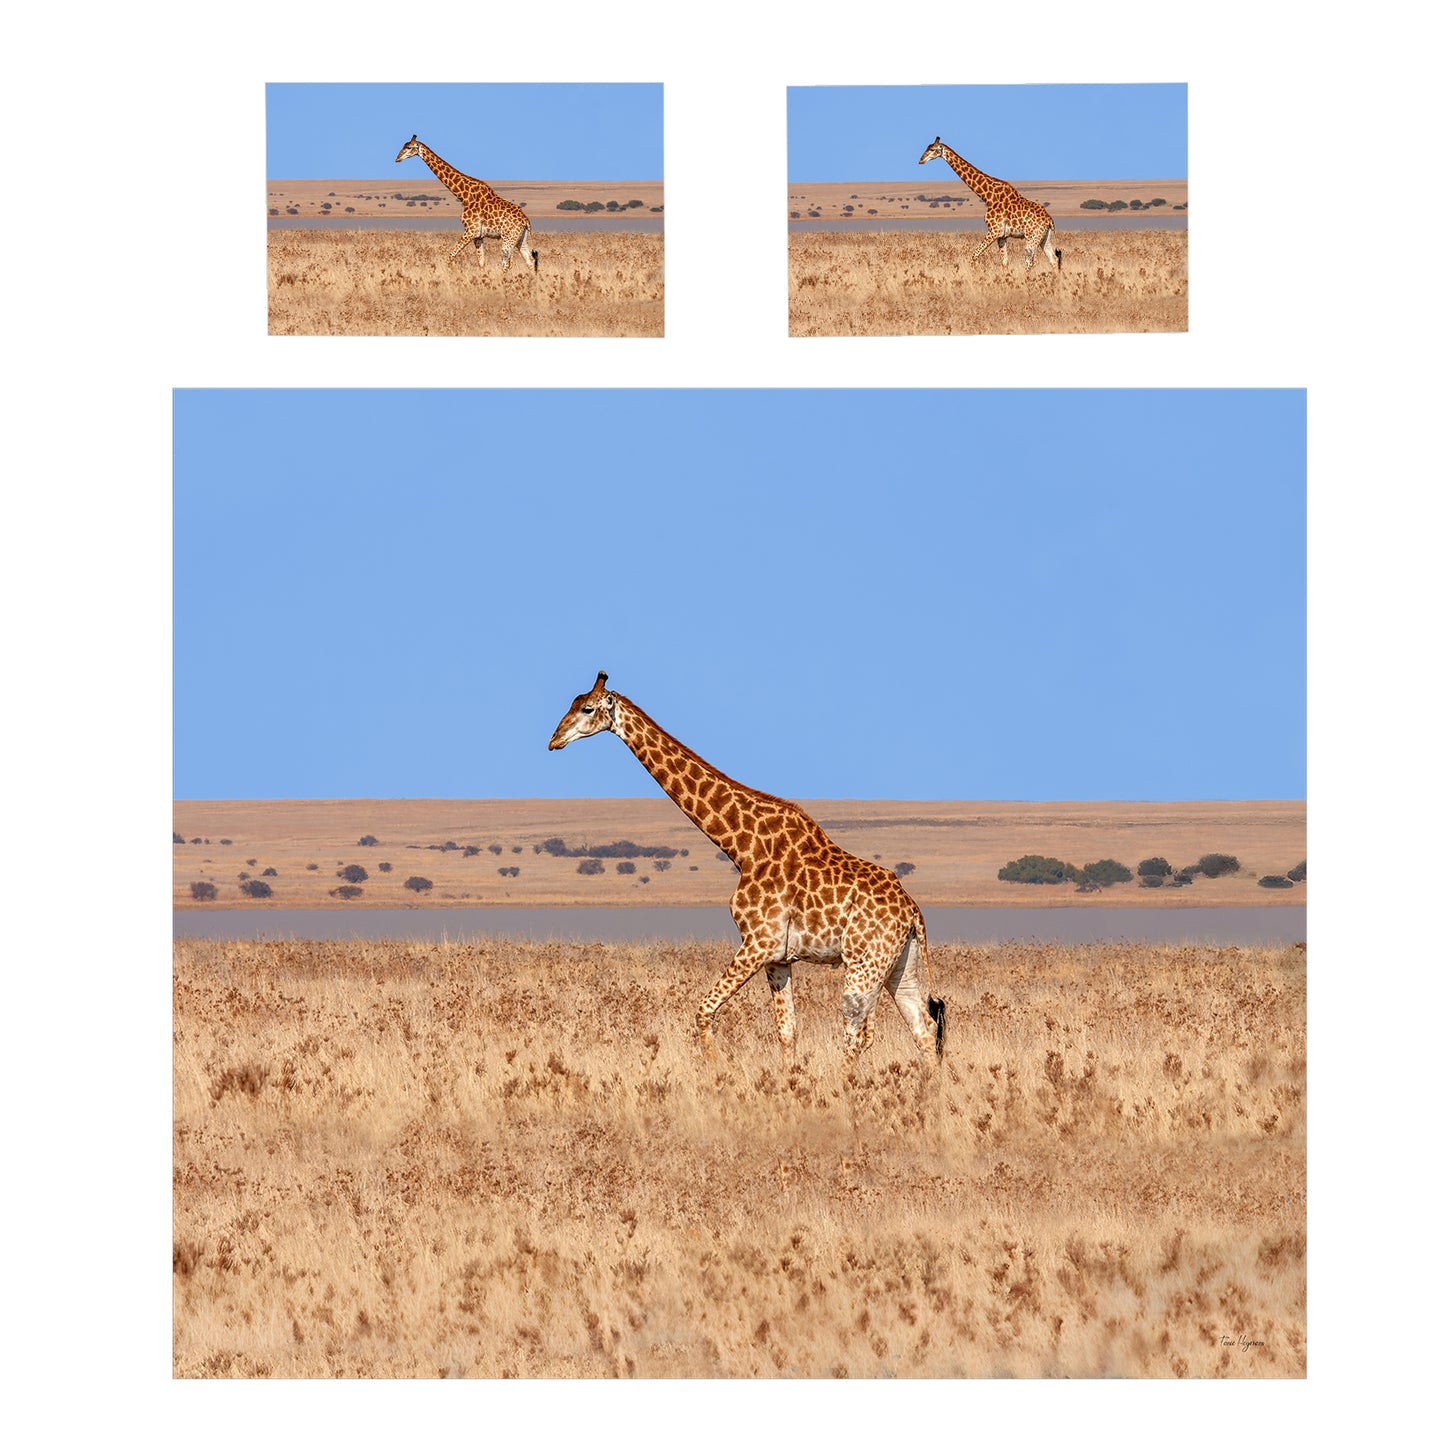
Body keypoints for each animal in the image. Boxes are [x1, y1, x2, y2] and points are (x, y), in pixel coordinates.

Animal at [394, 134, 538, 274]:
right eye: (404, 145)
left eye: (409, 147)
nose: (397, 158)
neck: (465, 197)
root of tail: (526, 220)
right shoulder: (478, 236)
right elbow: (481, 263)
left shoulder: (470, 230)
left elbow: (451, 256)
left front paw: (455, 276)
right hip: (520, 238)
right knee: (530, 261)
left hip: (509, 238)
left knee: (507, 263)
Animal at [548, 673, 946, 1072]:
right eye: (571, 704)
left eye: (587, 708)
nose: (554, 740)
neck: (740, 847)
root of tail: (913, 912)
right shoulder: (778, 957)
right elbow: (787, 1031)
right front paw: (788, 1081)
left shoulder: (758, 941)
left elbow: (704, 1010)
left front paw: (714, 1070)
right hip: (899, 964)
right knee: (924, 1028)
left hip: (865, 962)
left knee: (860, 1033)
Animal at [918, 136, 1062, 274]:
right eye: (927, 147)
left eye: (932, 149)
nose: (920, 160)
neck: (988, 197)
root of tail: (1049, 220)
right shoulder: (1002, 236)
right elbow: (1004, 262)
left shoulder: (994, 230)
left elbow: (974, 256)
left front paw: (978, 277)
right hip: (1044, 238)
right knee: (1053, 260)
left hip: (1032, 237)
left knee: (1031, 261)